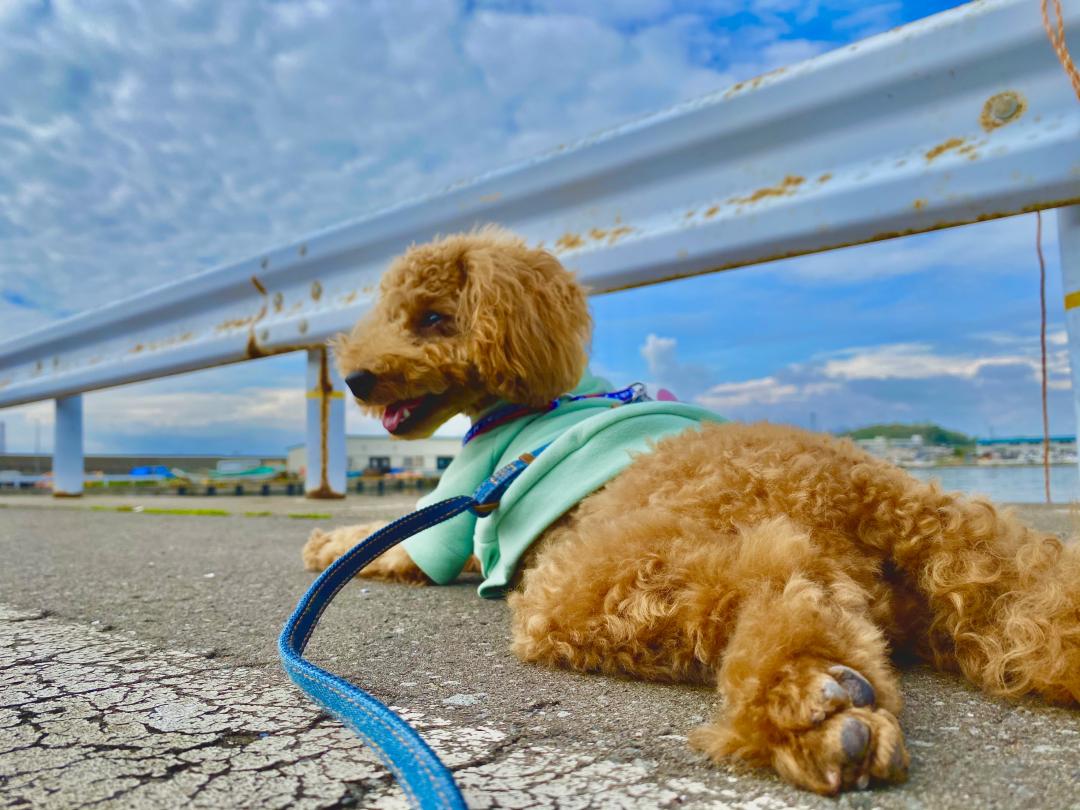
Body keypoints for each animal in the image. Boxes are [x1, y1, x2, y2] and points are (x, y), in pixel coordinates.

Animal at [302, 225, 1080, 794]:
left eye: (434, 319)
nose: (356, 378)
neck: (528, 395)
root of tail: (862, 497)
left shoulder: (462, 496)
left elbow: (389, 541)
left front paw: (325, 544)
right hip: (965, 557)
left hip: (596, 577)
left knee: (773, 575)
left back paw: (812, 702)